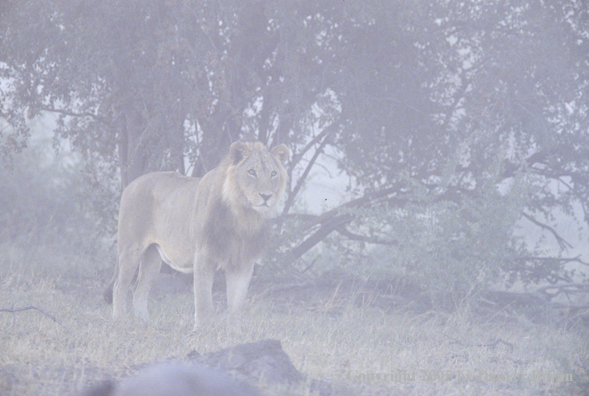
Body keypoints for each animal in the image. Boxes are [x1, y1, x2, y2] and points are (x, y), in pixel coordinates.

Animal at [106, 140, 292, 328]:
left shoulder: (243, 262)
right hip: (131, 249)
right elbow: (204, 301)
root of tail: (131, 184)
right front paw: (202, 329)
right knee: (119, 286)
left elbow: (236, 303)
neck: (243, 216)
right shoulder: (204, 256)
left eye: (273, 173)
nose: (266, 196)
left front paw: (234, 331)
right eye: (251, 172)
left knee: (139, 288)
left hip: (152, 256)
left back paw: (144, 322)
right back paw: (119, 320)